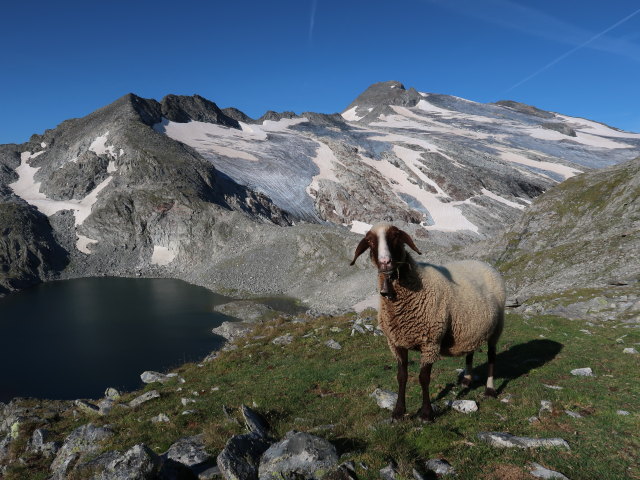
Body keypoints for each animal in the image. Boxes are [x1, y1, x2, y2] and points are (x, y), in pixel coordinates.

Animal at [350, 223, 504, 422]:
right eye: (369, 240)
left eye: (396, 235)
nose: (385, 262)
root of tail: (483, 263)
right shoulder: (396, 342)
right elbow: (402, 376)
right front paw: (398, 412)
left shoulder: (430, 341)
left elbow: (423, 378)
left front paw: (426, 414)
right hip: (470, 328)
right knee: (470, 351)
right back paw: (467, 380)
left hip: (497, 327)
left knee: (492, 356)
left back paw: (490, 390)